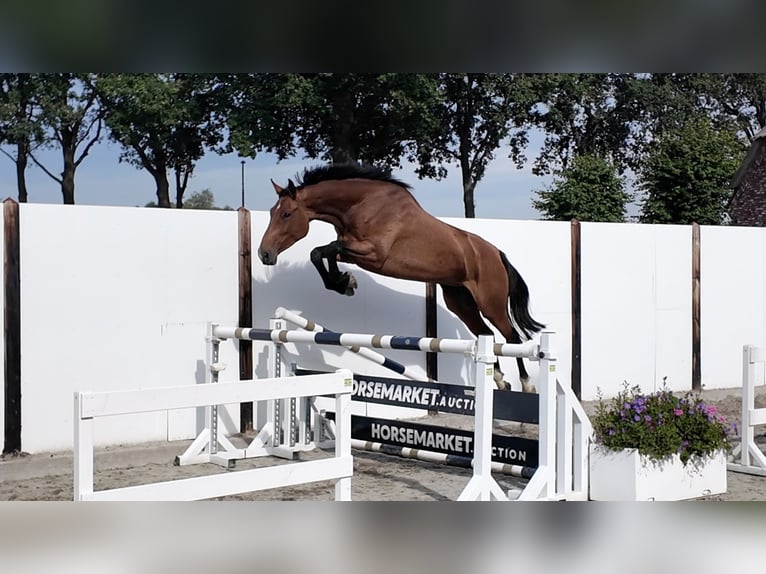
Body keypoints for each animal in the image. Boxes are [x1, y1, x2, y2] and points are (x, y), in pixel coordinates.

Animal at [257, 163, 545, 392]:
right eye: (271, 212)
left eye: (286, 214)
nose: (264, 253)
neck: (361, 205)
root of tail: (496, 254)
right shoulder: (352, 250)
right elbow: (321, 253)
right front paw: (344, 283)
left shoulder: (374, 254)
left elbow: (325, 249)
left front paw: (344, 282)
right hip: (461, 302)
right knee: (486, 334)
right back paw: (500, 380)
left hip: (491, 303)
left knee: (512, 337)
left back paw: (526, 384)